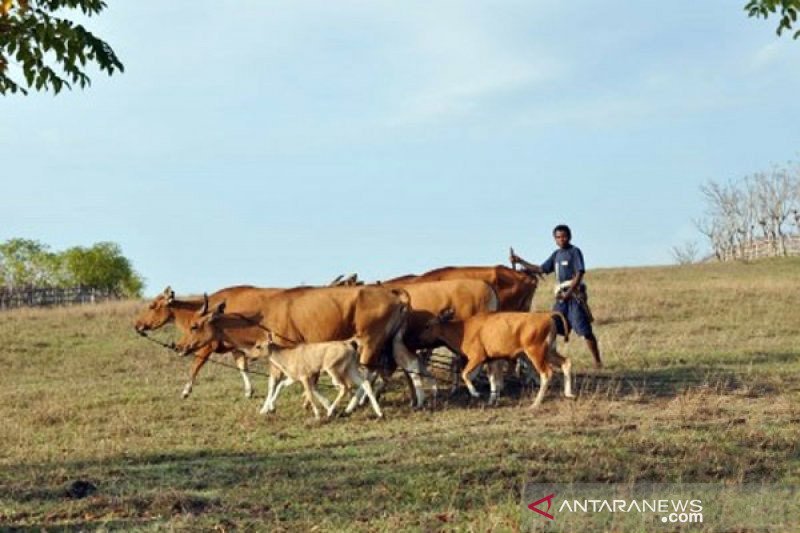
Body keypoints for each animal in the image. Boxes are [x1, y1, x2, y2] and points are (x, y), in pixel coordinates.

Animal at [138, 284, 284, 396]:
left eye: (152, 306)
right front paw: (249, 391)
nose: (137, 324)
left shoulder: (206, 346)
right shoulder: (235, 348)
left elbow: (195, 365)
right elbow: (242, 366)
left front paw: (186, 390)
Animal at [416, 310, 572, 406]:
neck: (463, 329)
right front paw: (492, 399)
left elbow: (465, 374)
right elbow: (492, 379)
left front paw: (475, 393)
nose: (417, 338)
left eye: (427, 326)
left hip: (535, 352)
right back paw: (568, 393)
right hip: (549, 352)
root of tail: (546, 316)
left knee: (546, 373)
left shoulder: (477, 357)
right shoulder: (490, 360)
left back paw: (536, 403)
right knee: (566, 362)